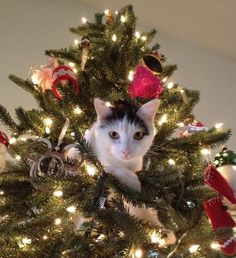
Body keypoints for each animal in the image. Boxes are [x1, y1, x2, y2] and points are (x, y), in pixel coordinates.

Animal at [84, 98, 175, 246]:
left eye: (138, 135)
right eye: (114, 134)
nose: (126, 152)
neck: (125, 163)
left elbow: (138, 205)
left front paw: (164, 233)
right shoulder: (102, 158)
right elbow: (118, 169)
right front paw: (134, 183)